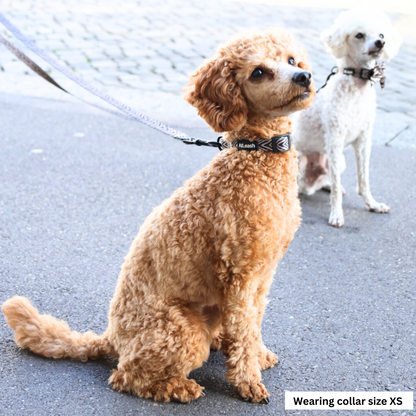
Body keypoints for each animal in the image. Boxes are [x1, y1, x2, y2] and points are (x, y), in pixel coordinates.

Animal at [1, 28, 316, 404]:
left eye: (292, 60)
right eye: (258, 72)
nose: (303, 77)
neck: (256, 158)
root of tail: (111, 337)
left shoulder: (262, 276)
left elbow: (251, 326)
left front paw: (257, 354)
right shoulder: (240, 275)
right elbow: (244, 328)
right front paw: (247, 381)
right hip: (180, 331)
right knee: (126, 376)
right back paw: (178, 387)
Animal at [292, 8, 404, 228]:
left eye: (381, 34)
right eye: (359, 35)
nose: (380, 43)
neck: (357, 88)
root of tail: (309, 184)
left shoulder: (363, 140)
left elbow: (363, 179)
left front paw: (372, 204)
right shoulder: (335, 140)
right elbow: (336, 189)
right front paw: (336, 214)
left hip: (338, 160)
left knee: (327, 181)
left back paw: (325, 185)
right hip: (300, 159)